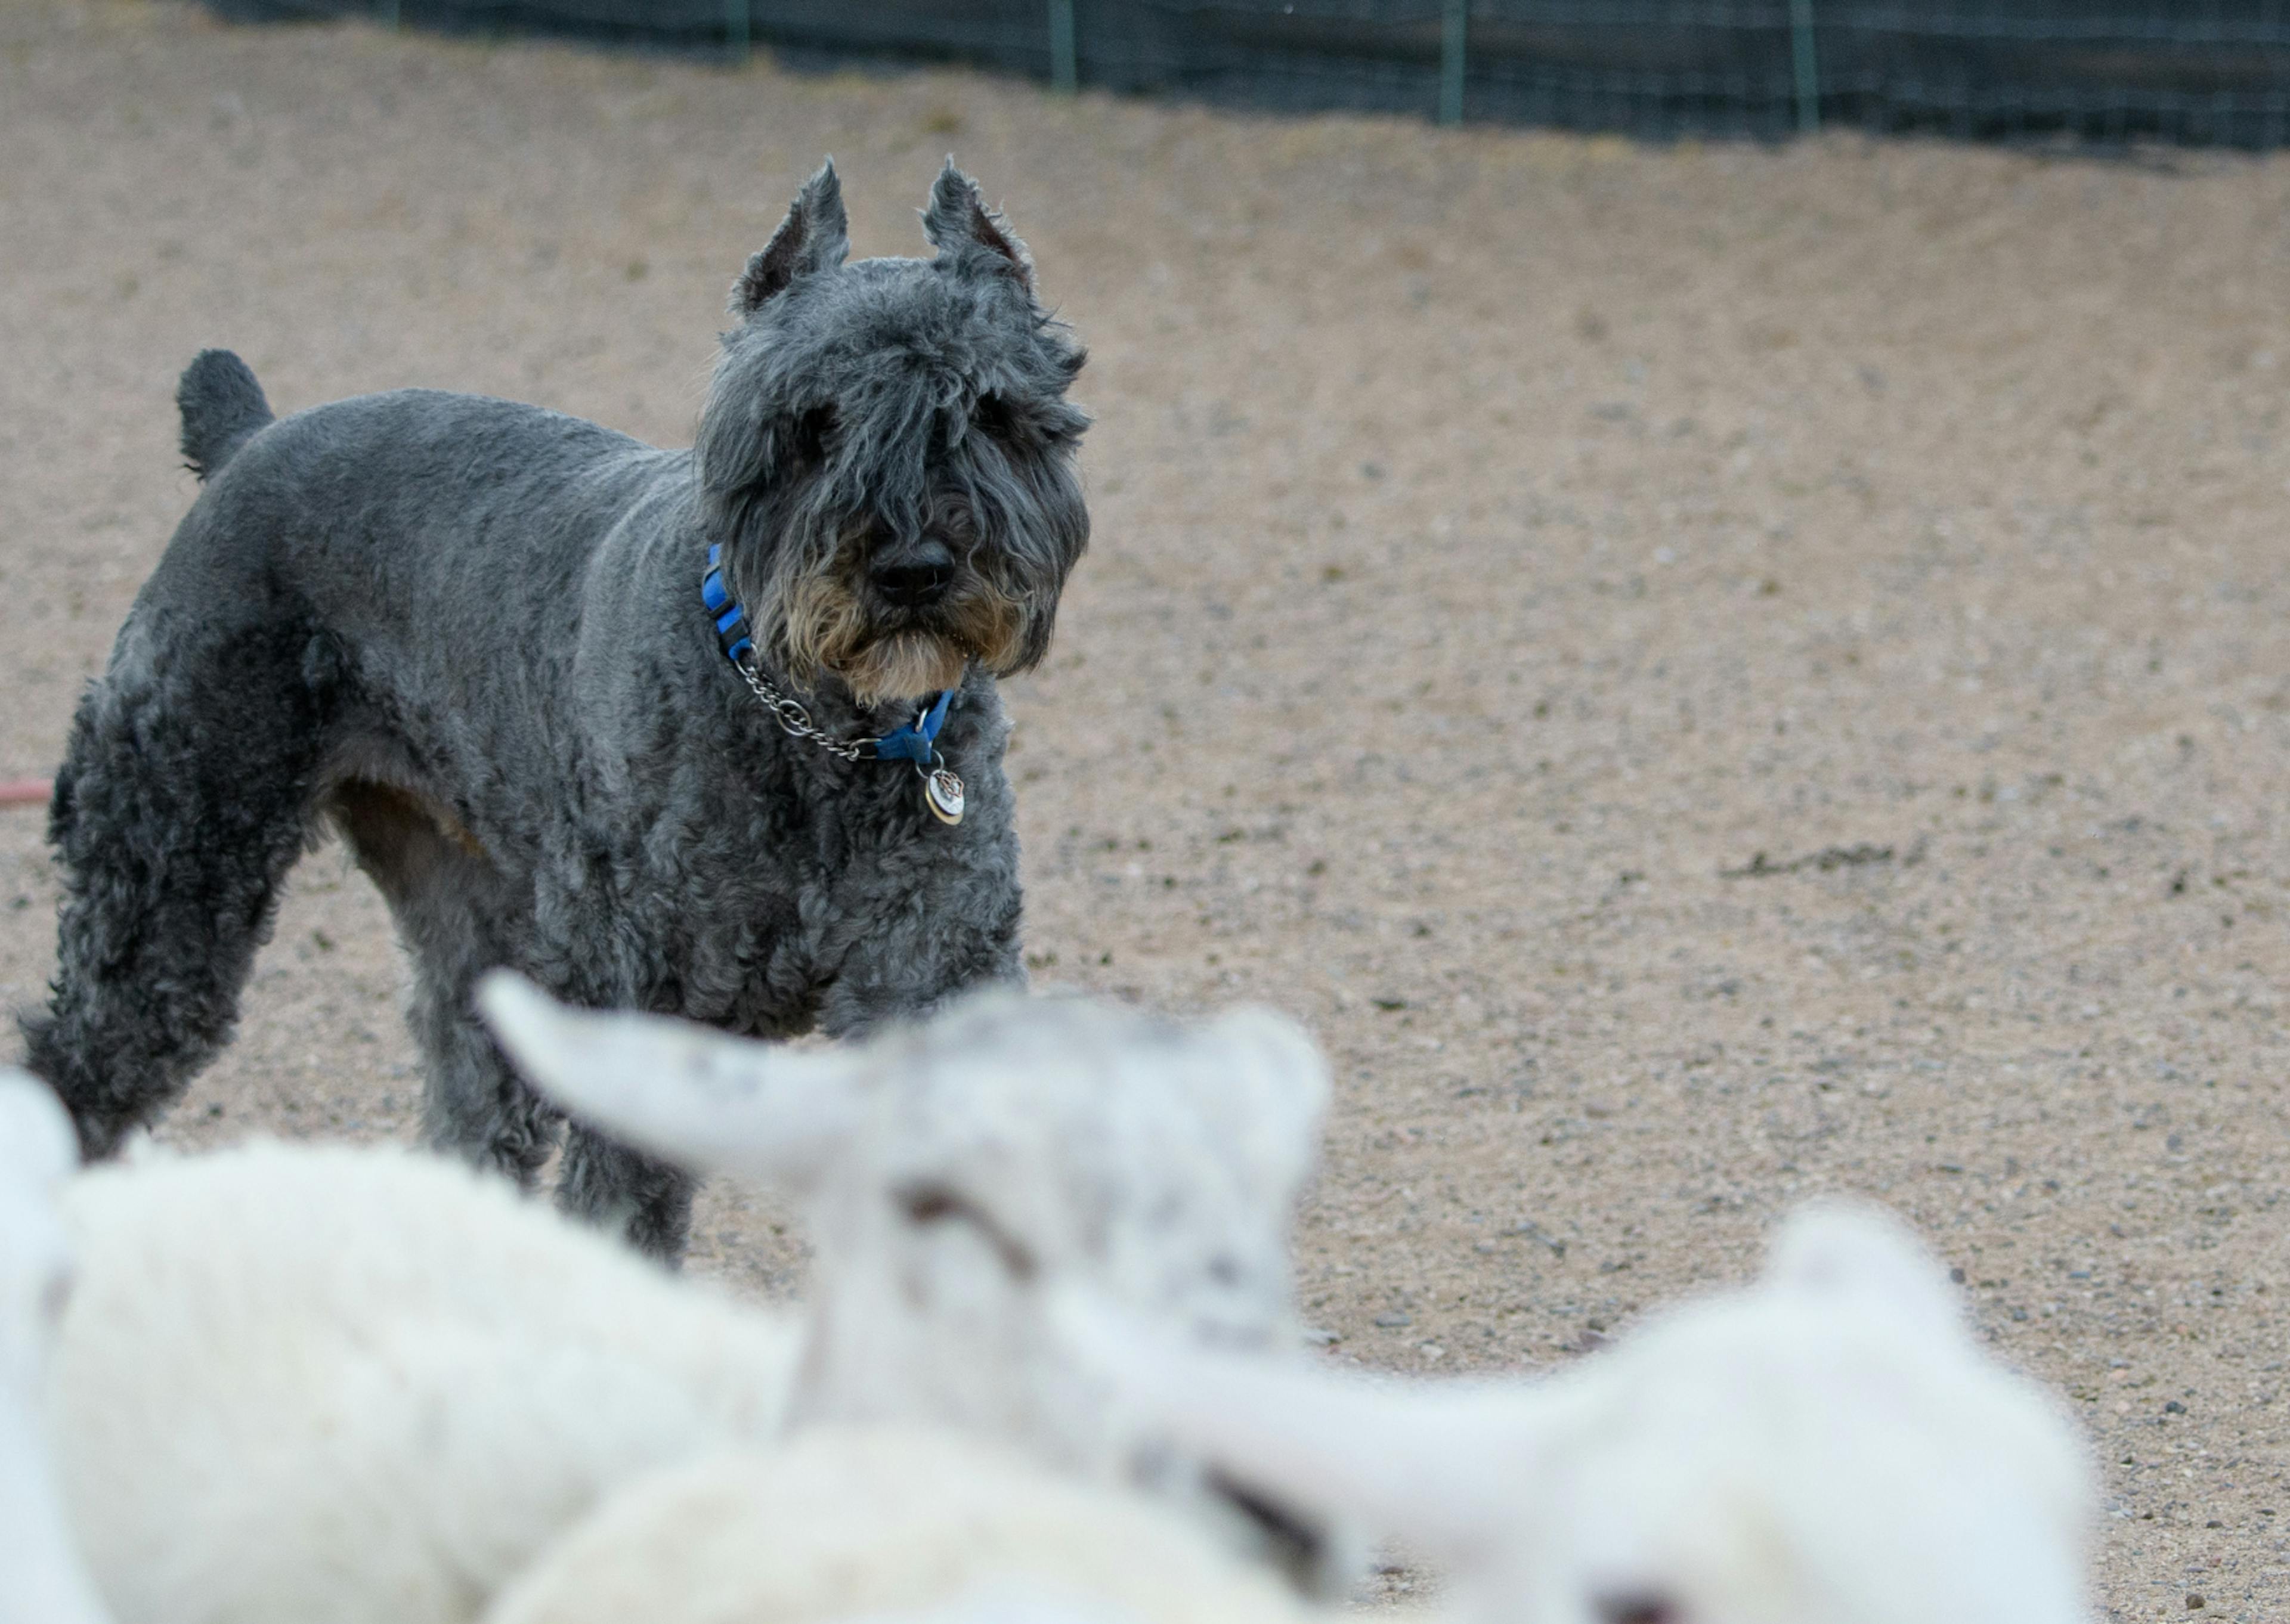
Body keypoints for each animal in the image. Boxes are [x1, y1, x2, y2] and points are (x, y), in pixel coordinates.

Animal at [18, 161, 1090, 1255]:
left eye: (993, 410)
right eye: (812, 422)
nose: (915, 569)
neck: (824, 734)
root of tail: (244, 444)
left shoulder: (930, 978)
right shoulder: (640, 1019)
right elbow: (625, 1219)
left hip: (477, 940)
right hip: (168, 886)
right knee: (74, 1076)